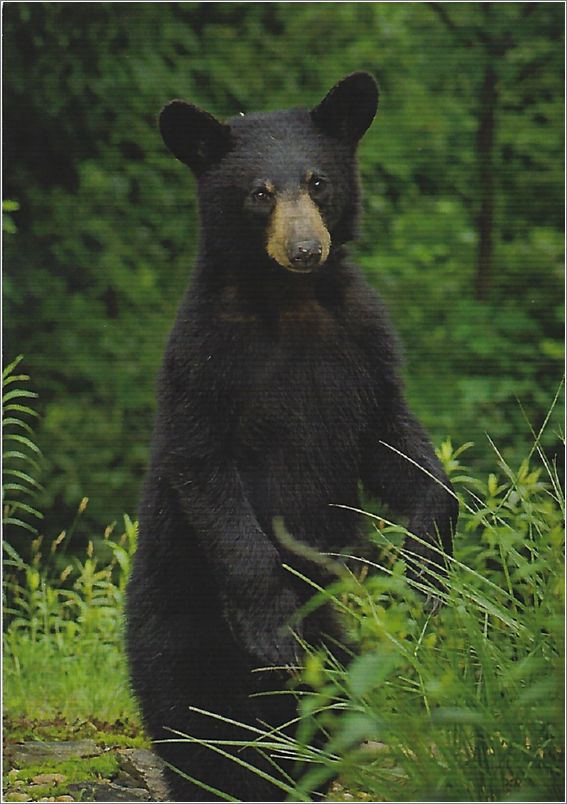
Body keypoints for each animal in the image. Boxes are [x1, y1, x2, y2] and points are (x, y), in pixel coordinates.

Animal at [125, 71, 458, 803]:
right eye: (259, 193)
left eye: (316, 181)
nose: (306, 250)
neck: (289, 298)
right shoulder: (205, 359)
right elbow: (209, 475)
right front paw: (272, 628)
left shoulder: (362, 345)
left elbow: (397, 444)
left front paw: (424, 567)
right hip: (176, 611)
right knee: (193, 718)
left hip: (333, 644)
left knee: (322, 708)